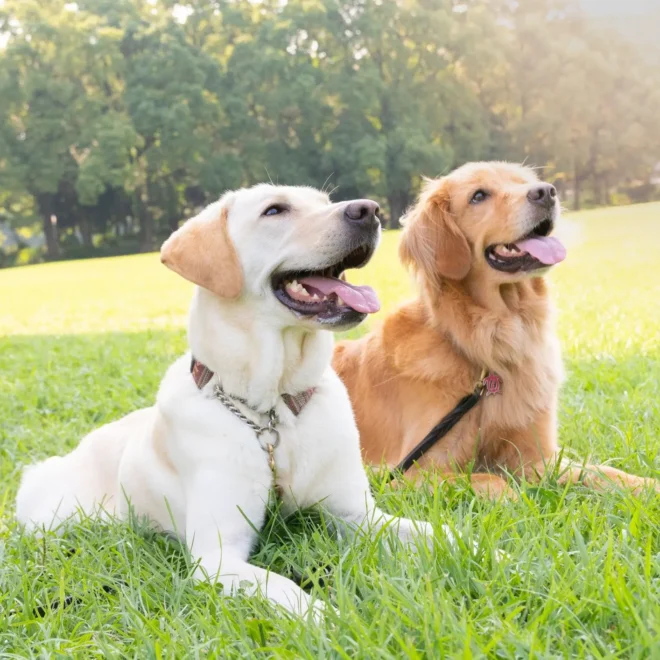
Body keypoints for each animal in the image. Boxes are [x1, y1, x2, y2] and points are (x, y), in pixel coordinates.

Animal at [14, 184, 434, 620]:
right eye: (274, 210)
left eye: (324, 201)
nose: (370, 210)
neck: (271, 413)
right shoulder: (216, 557)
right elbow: (285, 588)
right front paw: (333, 619)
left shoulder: (359, 514)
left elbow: (435, 533)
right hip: (56, 517)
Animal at [336, 162, 660, 498]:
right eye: (479, 196)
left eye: (523, 182)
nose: (547, 192)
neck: (491, 343)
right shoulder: (408, 472)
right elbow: (487, 479)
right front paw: (513, 497)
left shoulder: (538, 457)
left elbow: (600, 471)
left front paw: (646, 484)